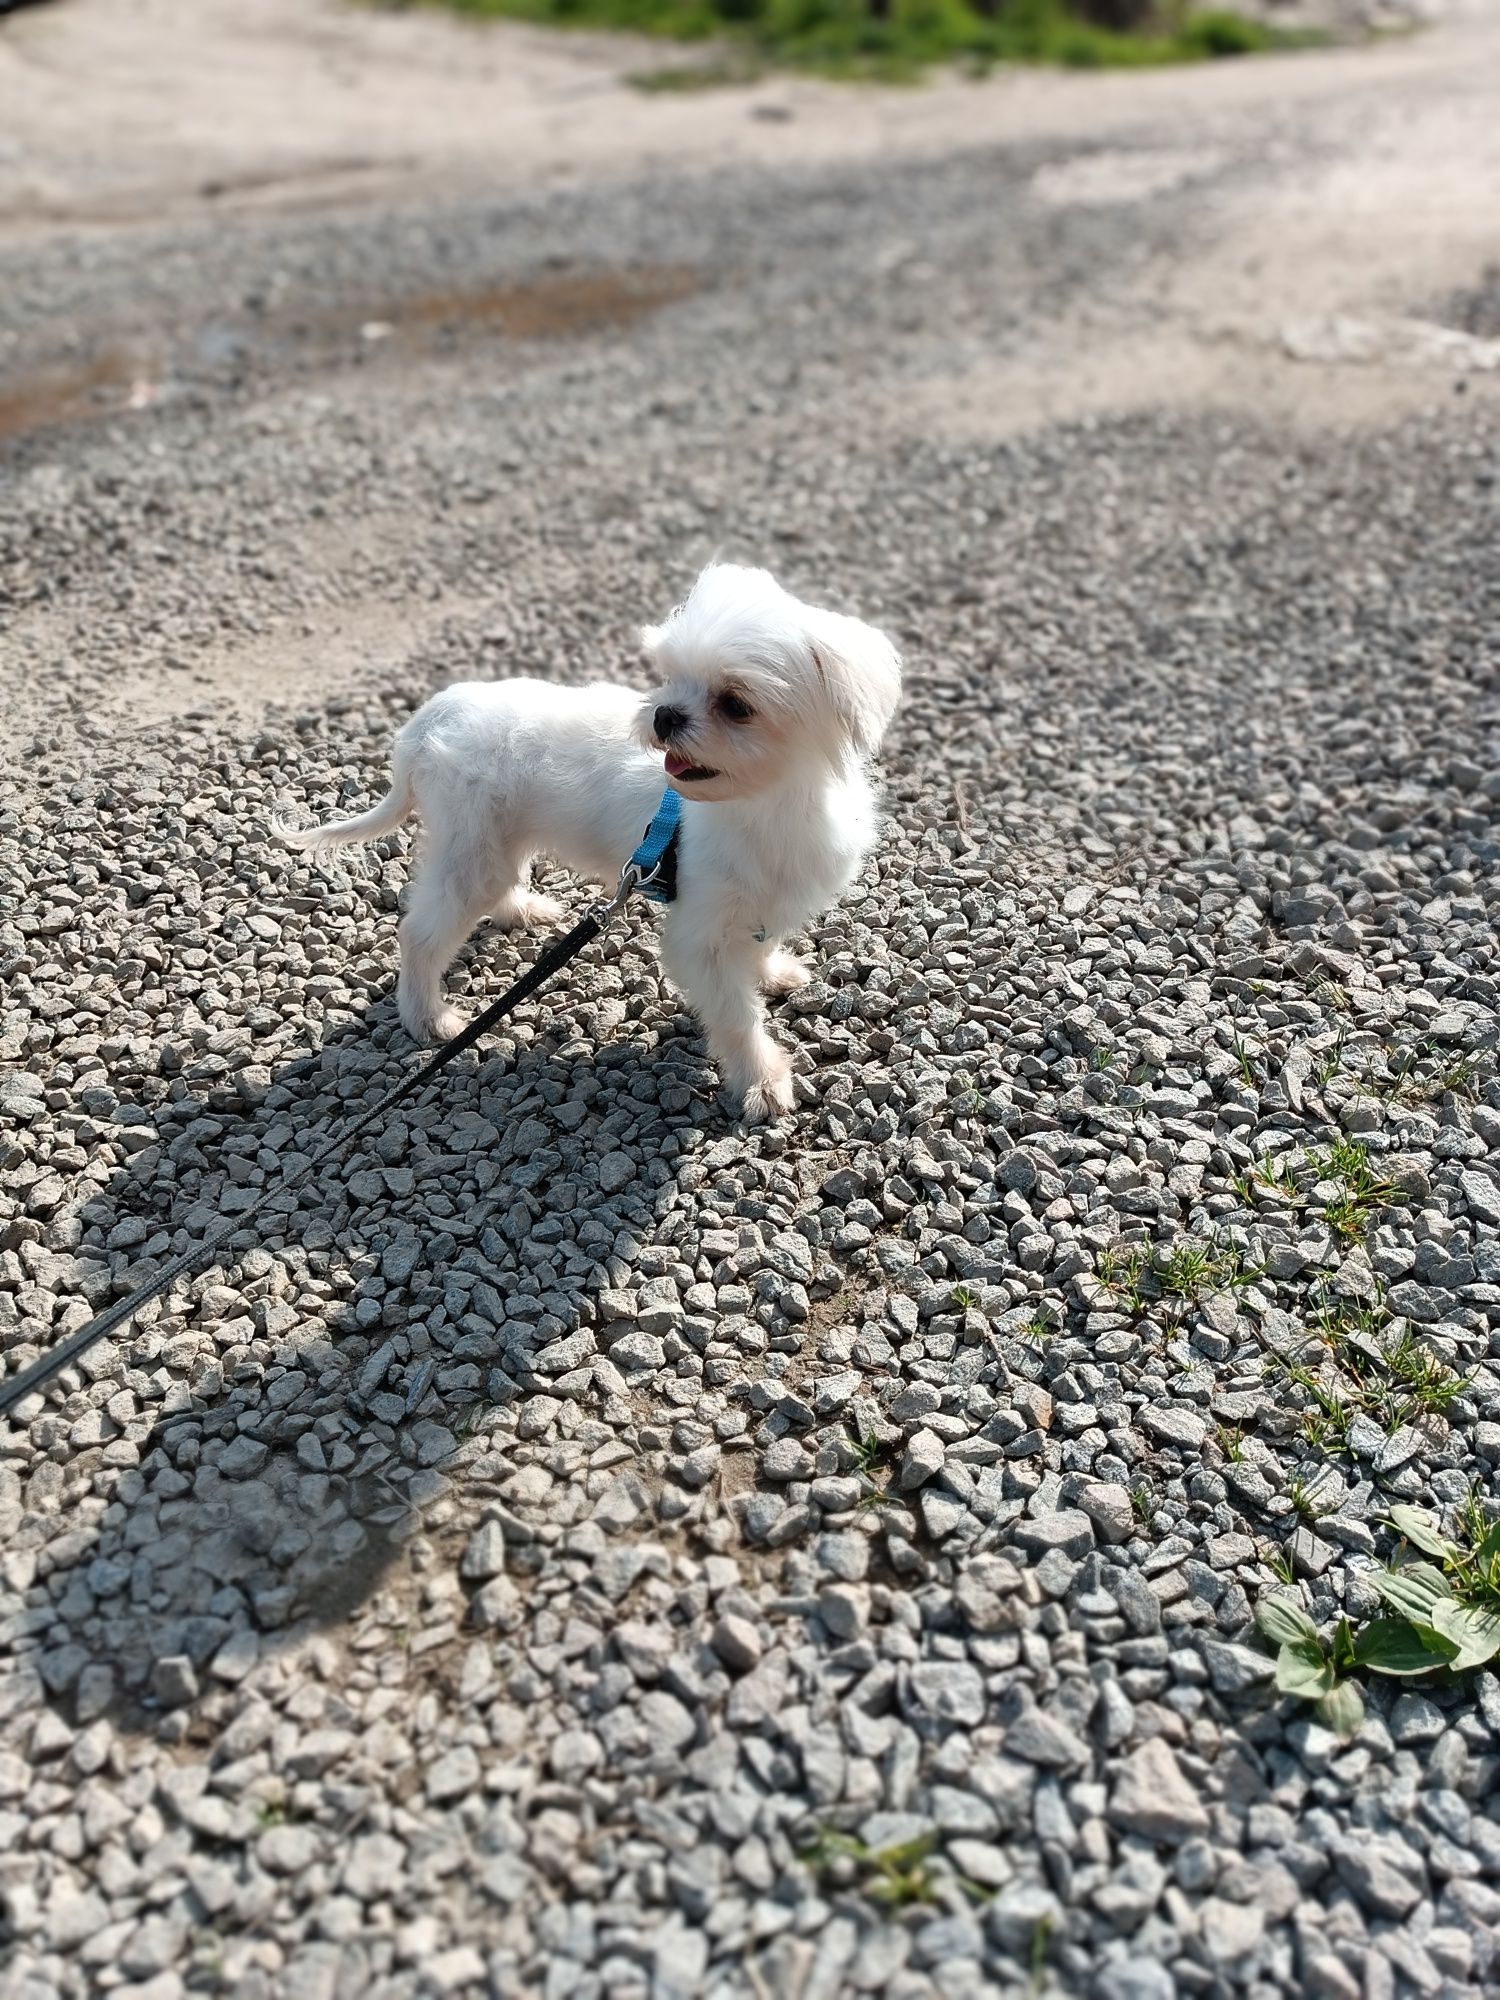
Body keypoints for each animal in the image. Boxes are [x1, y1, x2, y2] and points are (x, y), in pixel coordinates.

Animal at [290, 564, 912, 1120]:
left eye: (736, 704)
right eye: (669, 676)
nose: (663, 714)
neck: (765, 805)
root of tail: (432, 716)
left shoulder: (769, 899)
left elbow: (759, 948)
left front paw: (771, 973)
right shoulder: (701, 936)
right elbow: (737, 1017)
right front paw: (762, 1082)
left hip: (495, 838)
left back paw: (522, 911)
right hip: (472, 849)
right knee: (420, 933)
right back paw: (427, 1017)